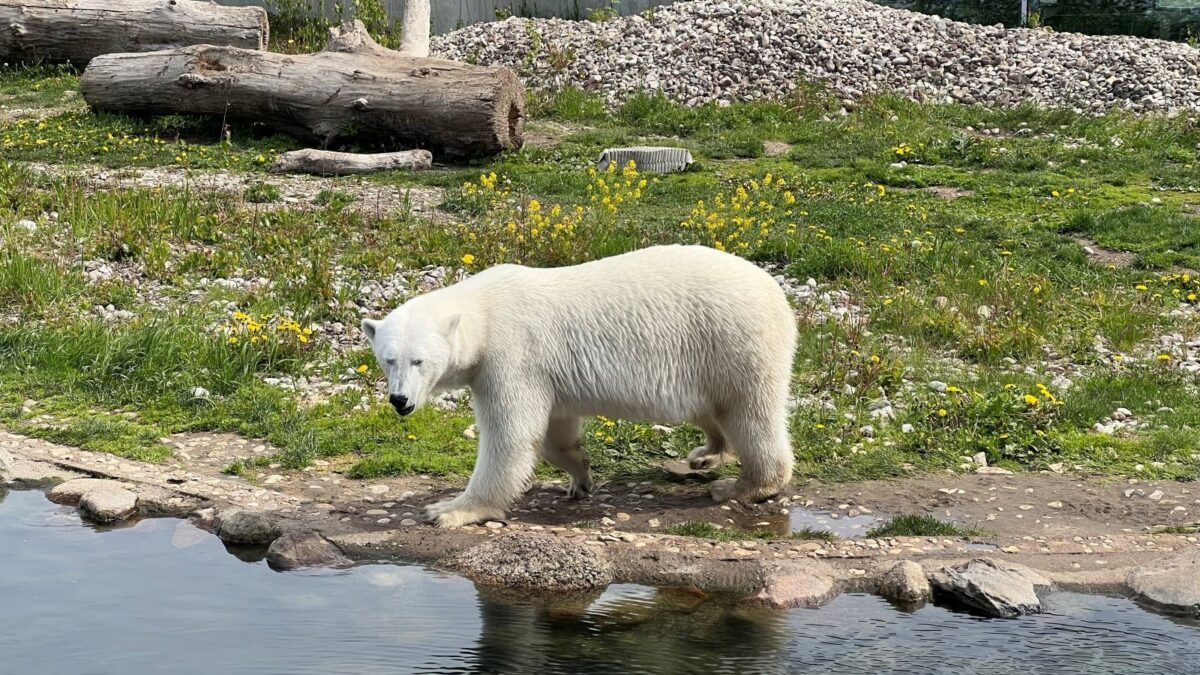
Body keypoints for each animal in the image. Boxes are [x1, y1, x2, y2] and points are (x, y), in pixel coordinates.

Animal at [362, 244, 797, 528]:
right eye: (388, 359)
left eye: (419, 360)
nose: (399, 400)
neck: (483, 311)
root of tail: (777, 293)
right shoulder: (546, 373)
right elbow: (556, 430)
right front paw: (580, 476)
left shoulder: (510, 355)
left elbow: (510, 434)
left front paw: (450, 510)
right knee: (713, 409)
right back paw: (706, 453)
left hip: (732, 341)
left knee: (750, 412)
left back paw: (742, 487)